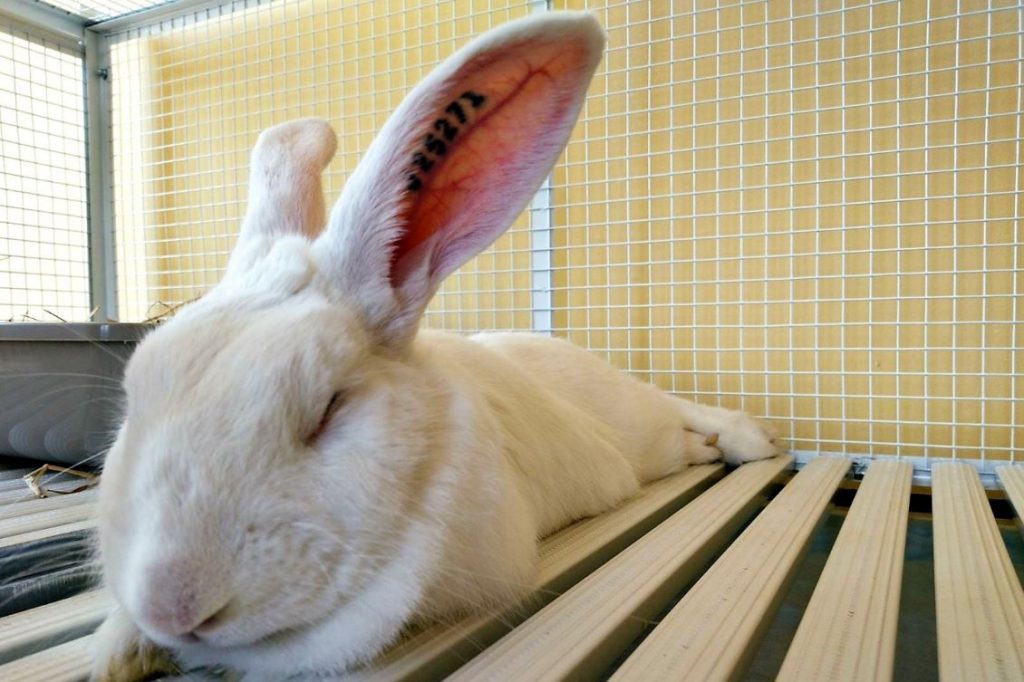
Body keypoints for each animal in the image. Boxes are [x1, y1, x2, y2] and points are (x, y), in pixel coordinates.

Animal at [90, 11, 780, 681]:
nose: (172, 606)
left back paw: (749, 443)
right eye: (135, 398)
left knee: (685, 415)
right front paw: (120, 655)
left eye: (329, 409)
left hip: (639, 425)